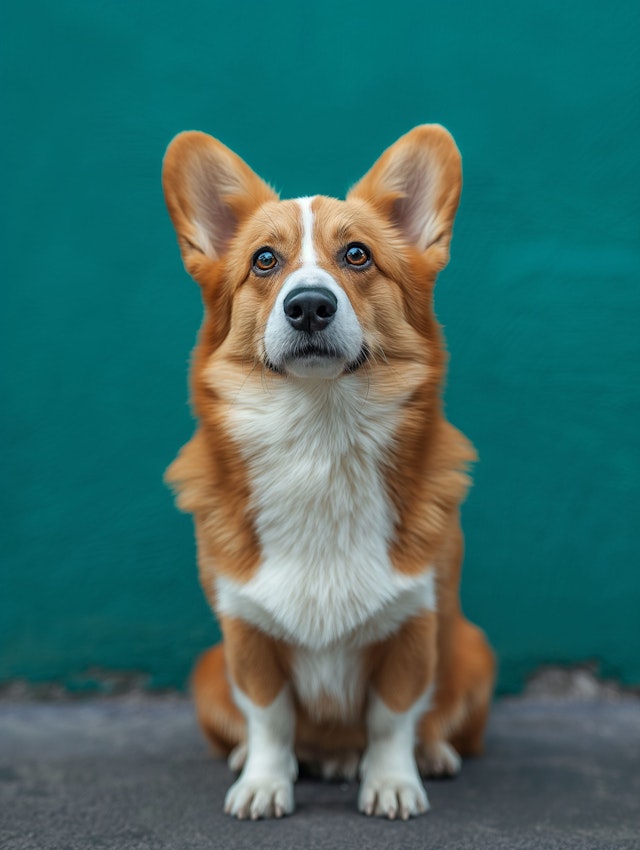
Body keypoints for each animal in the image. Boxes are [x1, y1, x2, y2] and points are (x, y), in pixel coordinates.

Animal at [160, 122, 496, 820]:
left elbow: (393, 718)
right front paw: (263, 783)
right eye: (264, 260)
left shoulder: (414, 623)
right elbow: (270, 718)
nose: (309, 306)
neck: (320, 437)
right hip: (207, 671)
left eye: (358, 256)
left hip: (474, 653)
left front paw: (392, 783)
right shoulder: (245, 632)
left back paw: (430, 755)